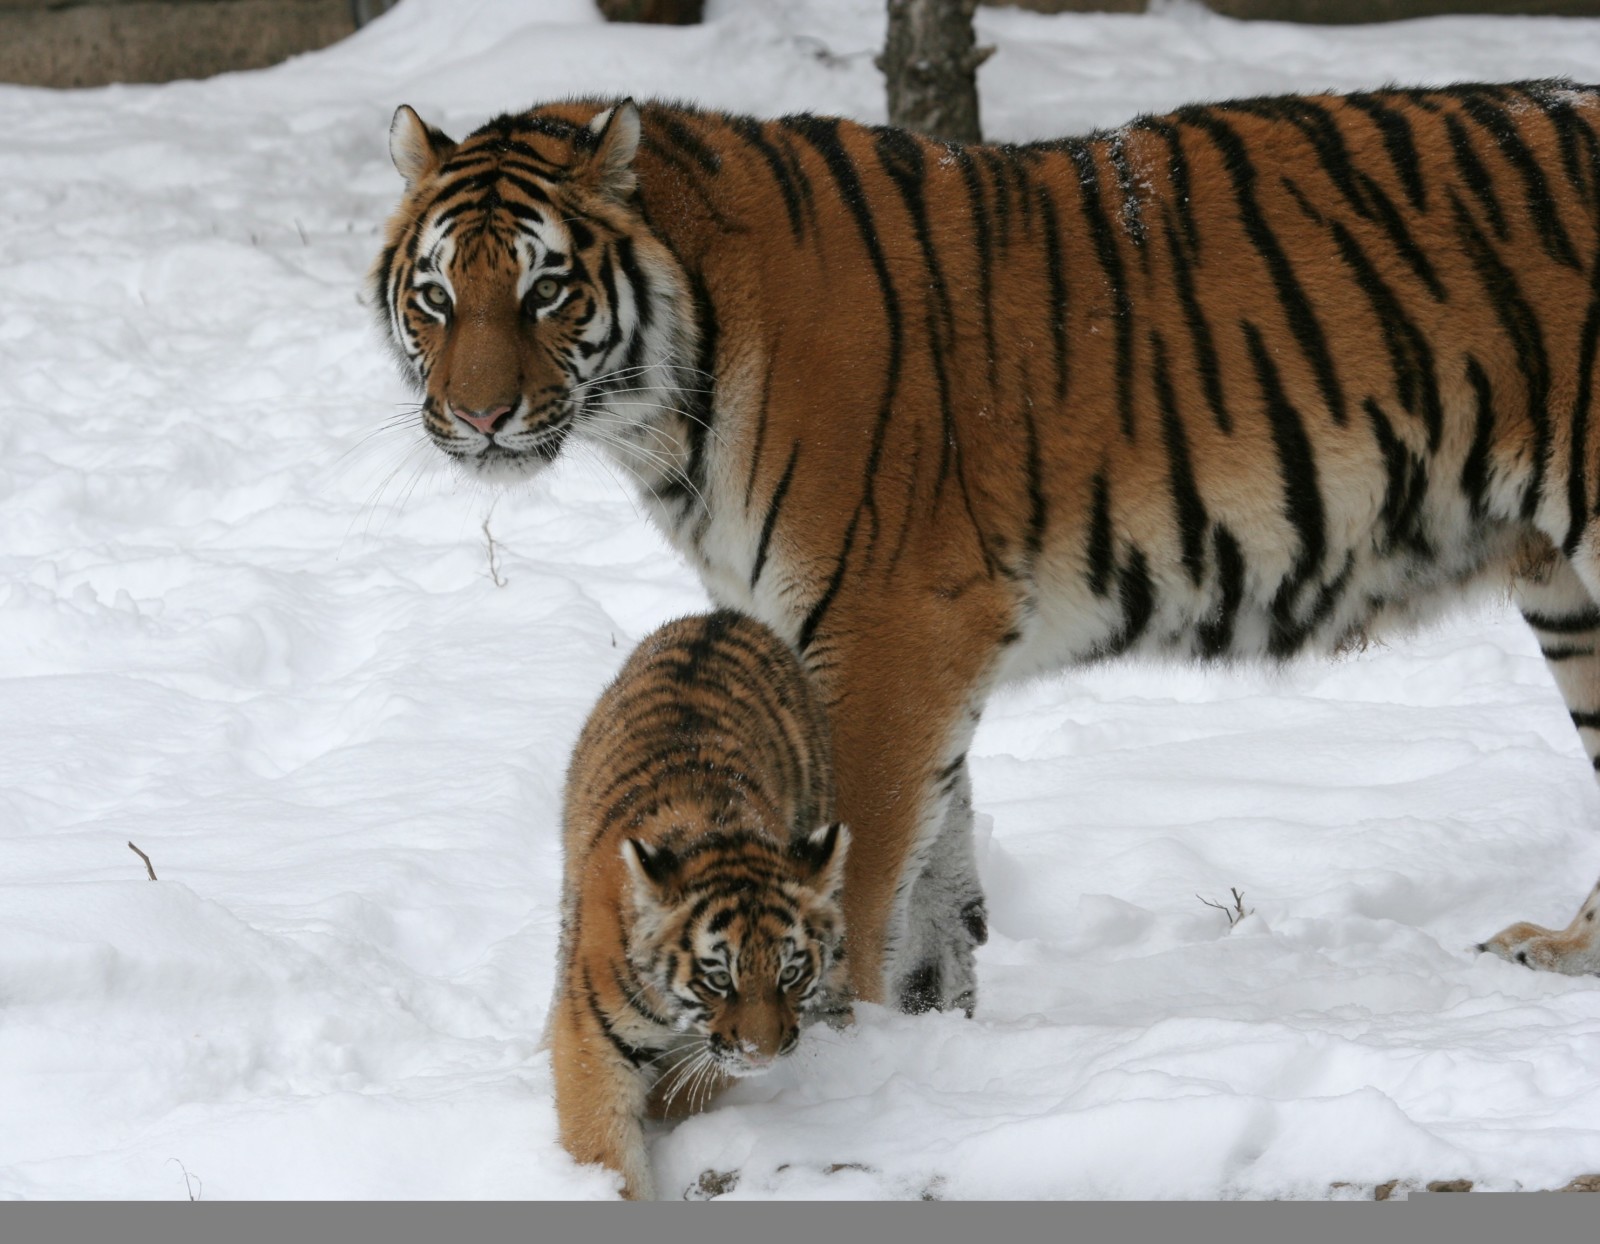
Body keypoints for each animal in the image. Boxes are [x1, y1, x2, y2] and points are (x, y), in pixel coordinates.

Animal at [374, 82, 1600, 1010]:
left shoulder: (892, 624)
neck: (665, 407)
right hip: (1570, 601)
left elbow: (860, 871)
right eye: (436, 295)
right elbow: (938, 879)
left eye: (545, 289)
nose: (477, 417)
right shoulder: (891, 641)